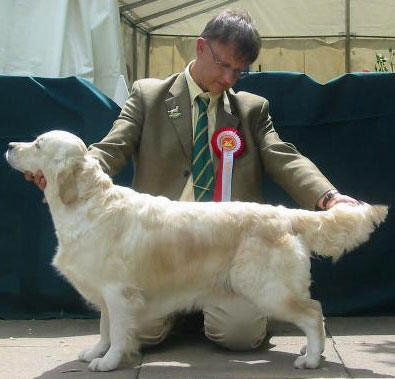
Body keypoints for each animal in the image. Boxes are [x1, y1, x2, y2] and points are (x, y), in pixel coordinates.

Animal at [5, 131, 390, 372]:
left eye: (37, 144)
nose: (9, 145)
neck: (88, 203)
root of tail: (284, 214)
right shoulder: (105, 292)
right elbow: (104, 328)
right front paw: (95, 353)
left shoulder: (118, 292)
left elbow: (117, 331)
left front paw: (109, 362)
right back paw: (311, 351)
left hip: (267, 288)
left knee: (313, 313)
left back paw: (310, 360)